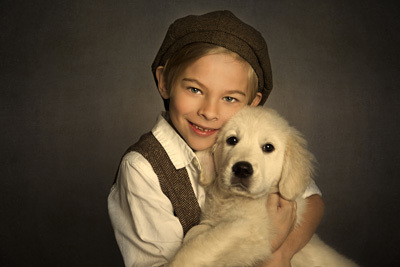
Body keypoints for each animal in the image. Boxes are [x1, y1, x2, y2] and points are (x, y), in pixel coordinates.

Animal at [168, 107, 356, 267]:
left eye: (268, 147)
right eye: (232, 140)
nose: (242, 169)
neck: (235, 199)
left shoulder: (252, 229)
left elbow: (199, 246)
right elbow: (196, 231)